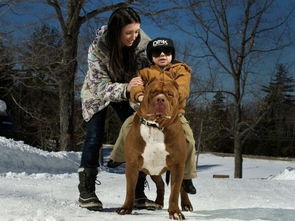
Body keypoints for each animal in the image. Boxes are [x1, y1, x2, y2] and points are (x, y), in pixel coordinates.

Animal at [117, 78, 193, 219]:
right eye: (153, 92)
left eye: (169, 94)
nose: (160, 100)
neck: (155, 126)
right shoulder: (132, 164)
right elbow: (130, 189)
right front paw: (126, 208)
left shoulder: (177, 165)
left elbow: (175, 191)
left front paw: (175, 212)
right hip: (153, 170)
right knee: (160, 183)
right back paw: (158, 203)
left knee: (182, 187)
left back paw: (186, 204)